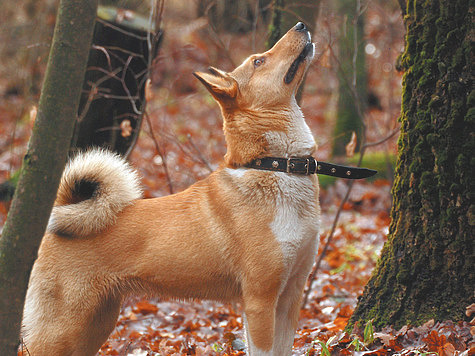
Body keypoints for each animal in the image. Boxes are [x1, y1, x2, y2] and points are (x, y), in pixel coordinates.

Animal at [21, 22, 320, 356]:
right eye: (259, 61)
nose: (301, 25)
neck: (277, 165)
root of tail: (63, 212)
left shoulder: (290, 298)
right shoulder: (260, 301)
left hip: (95, 323)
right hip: (62, 329)